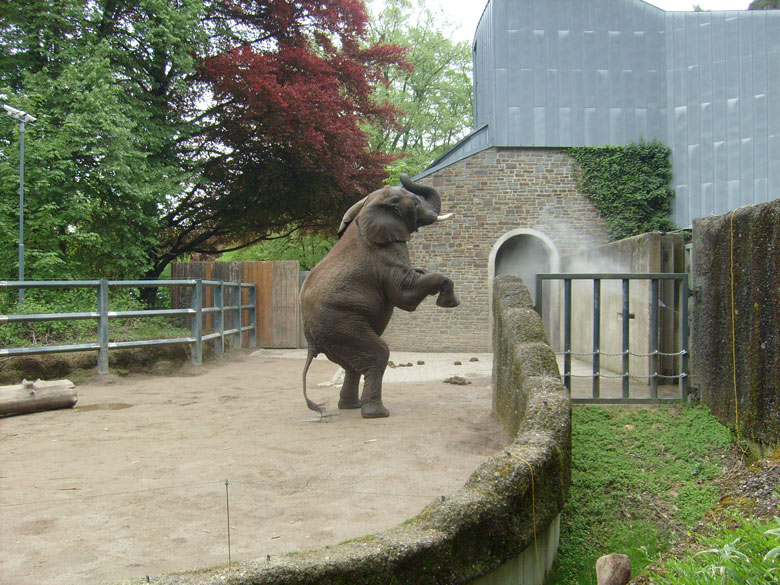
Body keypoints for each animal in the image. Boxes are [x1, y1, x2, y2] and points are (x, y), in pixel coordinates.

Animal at [298, 171, 458, 418]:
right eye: (414, 203)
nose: (403, 174)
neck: (366, 207)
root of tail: (311, 344)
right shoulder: (385, 254)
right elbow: (405, 294)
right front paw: (448, 302)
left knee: (352, 364)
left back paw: (351, 406)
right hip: (340, 324)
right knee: (377, 354)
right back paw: (376, 413)